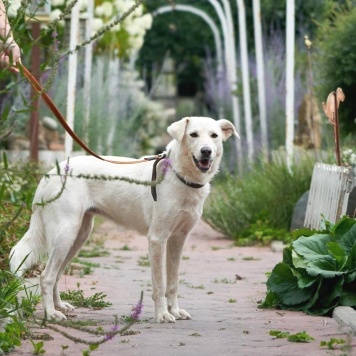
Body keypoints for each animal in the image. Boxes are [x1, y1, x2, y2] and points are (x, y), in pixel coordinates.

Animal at [10, 117, 239, 322]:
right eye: (193, 135)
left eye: (214, 136)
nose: (206, 151)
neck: (179, 176)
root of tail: (48, 174)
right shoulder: (157, 239)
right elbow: (160, 284)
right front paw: (163, 315)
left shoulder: (178, 240)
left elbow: (173, 283)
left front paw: (175, 311)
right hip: (66, 233)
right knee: (46, 276)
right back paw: (51, 314)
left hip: (78, 236)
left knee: (57, 273)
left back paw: (59, 306)